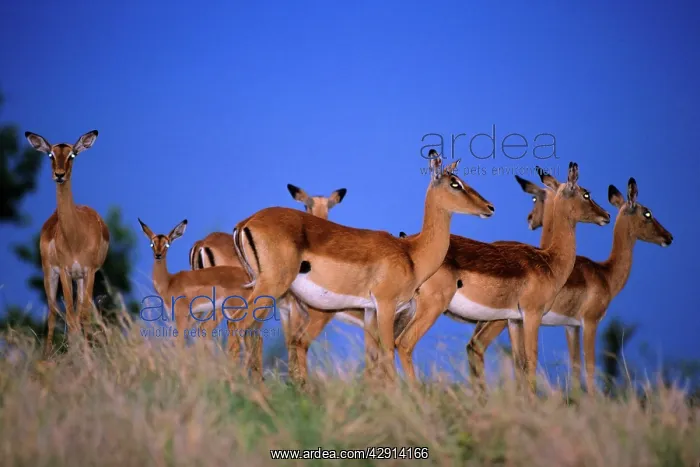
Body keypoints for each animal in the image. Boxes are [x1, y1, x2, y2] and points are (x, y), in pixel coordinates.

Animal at [25, 130, 110, 356]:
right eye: (50, 155)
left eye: (72, 155)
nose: (59, 175)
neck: (75, 237)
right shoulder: (64, 270)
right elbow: (70, 315)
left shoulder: (89, 271)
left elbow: (83, 315)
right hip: (50, 273)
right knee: (53, 312)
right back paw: (47, 357)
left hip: (78, 279)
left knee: (76, 313)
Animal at [230, 152, 496, 383]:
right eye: (455, 183)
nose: (490, 207)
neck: (411, 253)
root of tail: (246, 222)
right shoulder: (386, 305)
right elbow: (388, 352)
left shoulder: (370, 310)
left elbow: (373, 357)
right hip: (272, 288)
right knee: (239, 325)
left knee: (250, 331)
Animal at [394, 162, 611, 390]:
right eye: (586, 194)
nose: (606, 215)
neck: (549, 260)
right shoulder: (532, 315)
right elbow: (531, 361)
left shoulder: (513, 320)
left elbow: (520, 364)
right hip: (430, 308)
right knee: (404, 344)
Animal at [466, 174, 673, 392]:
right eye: (647, 213)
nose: (668, 237)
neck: (605, 273)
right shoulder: (589, 322)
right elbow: (589, 367)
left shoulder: (571, 326)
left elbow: (575, 366)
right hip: (500, 320)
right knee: (479, 346)